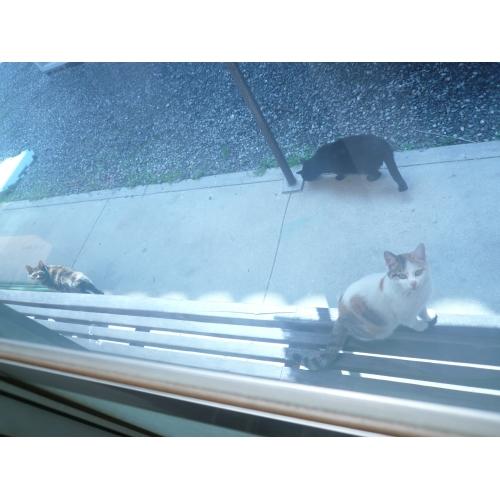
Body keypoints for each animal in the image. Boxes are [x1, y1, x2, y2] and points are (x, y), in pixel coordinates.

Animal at [288, 243, 436, 370]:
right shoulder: (403, 315)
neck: (415, 294)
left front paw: (428, 317)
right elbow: (412, 322)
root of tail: (340, 315)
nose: (413, 283)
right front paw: (422, 326)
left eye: (418, 272)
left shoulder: (422, 302)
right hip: (375, 329)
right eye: (401, 276)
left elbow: (423, 311)